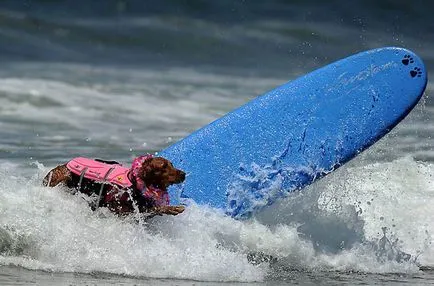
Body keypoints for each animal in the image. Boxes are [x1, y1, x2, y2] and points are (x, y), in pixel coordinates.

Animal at [42, 155, 186, 218]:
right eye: (163, 167)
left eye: (171, 164)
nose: (184, 174)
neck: (134, 183)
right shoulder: (117, 209)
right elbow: (151, 209)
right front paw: (172, 208)